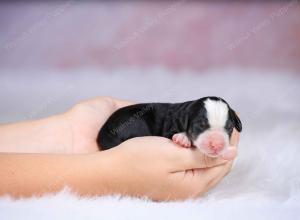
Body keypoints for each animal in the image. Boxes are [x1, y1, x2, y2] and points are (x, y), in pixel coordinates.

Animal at [97, 96, 243, 156]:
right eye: (200, 125)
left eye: (229, 128)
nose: (217, 145)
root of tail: (105, 131)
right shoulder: (168, 128)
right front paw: (183, 138)